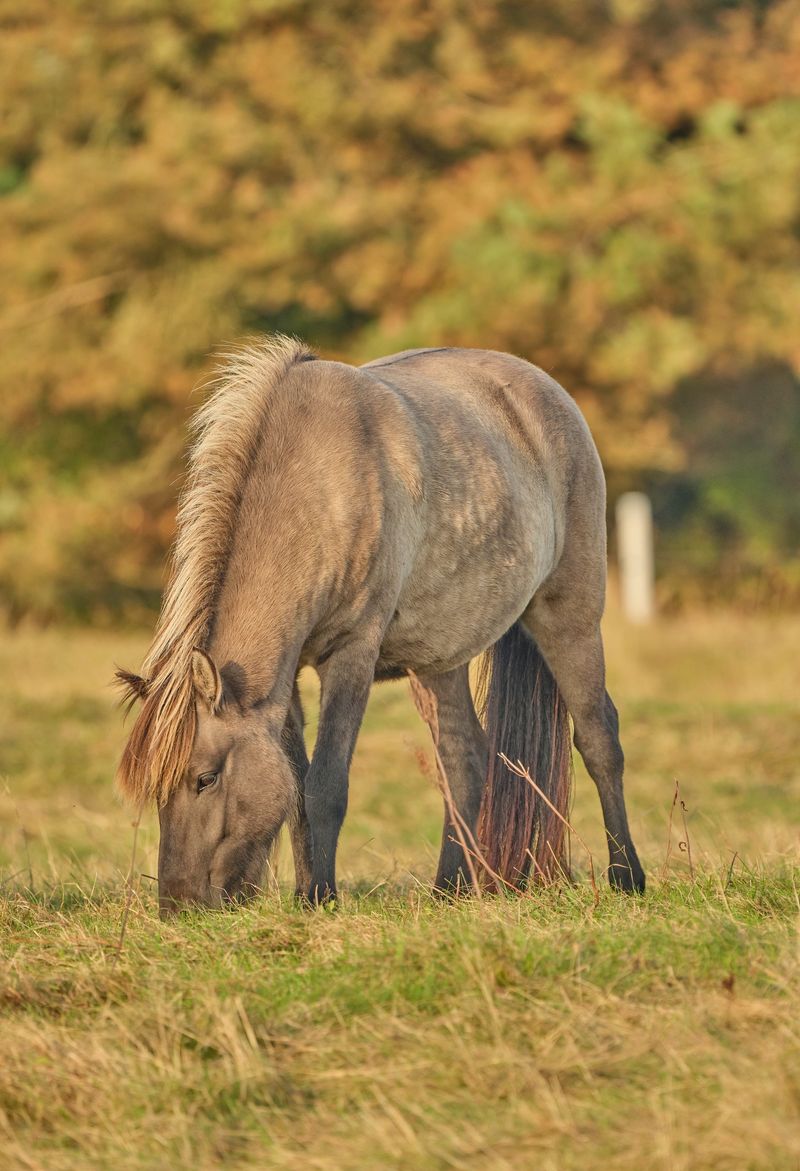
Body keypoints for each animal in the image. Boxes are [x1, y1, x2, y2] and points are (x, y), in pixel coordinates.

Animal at [116, 336, 644, 914]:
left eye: (205, 779)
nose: (178, 906)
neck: (316, 483)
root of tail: (546, 393)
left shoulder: (352, 653)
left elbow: (324, 785)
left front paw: (318, 897)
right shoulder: (286, 680)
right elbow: (296, 789)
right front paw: (309, 892)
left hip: (568, 618)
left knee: (599, 738)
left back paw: (627, 876)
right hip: (439, 659)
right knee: (464, 760)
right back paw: (448, 889)